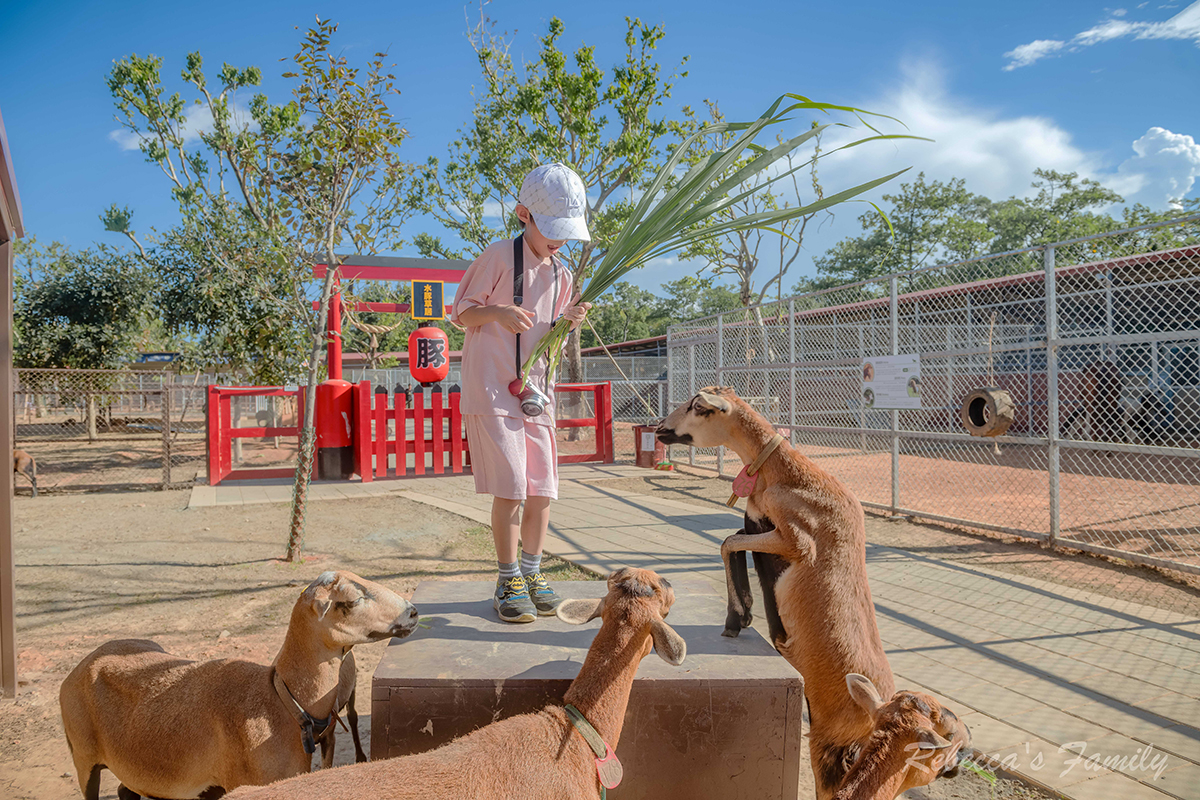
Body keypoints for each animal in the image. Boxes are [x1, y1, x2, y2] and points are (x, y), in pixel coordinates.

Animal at [60, 573, 420, 796]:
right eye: (354, 599)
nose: (414, 612)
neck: (283, 703)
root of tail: (83, 664)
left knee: (126, 790)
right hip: (83, 757)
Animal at [652, 386, 969, 796]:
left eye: (697, 407)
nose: (659, 428)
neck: (787, 476)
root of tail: (875, 705)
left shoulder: (795, 541)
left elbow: (728, 542)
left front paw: (738, 617)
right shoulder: (762, 526)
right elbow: (735, 538)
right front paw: (745, 612)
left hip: (828, 743)